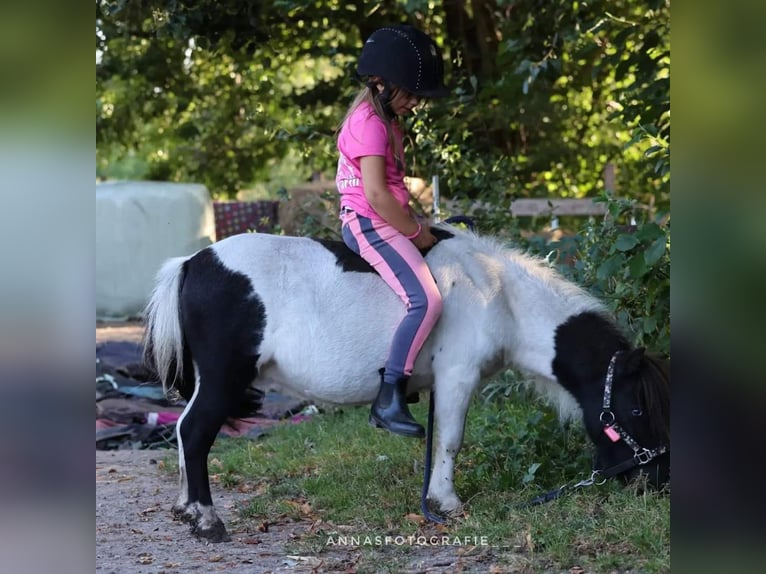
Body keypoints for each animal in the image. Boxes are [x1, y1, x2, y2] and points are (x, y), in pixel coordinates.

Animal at [144, 226, 672, 544]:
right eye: (638, 410)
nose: (657, 483)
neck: (496, 292)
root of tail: (192, 262)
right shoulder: (458, 376)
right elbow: (452, 441)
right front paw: (447, 503)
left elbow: (440, 442)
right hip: (224, 379)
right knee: (194, 433)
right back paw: (206, 518)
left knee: (184, 432)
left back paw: (186, 508)